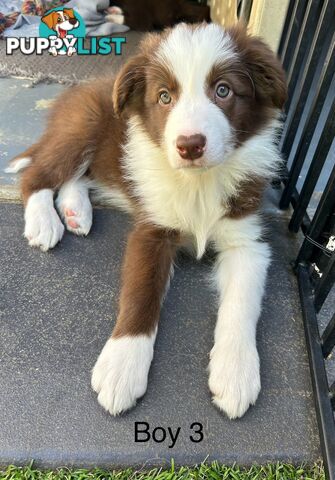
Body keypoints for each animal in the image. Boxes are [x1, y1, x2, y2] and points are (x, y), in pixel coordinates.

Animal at [6, 22, 288, 418]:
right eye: (165, 97)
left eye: (223, 90)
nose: (189, 145)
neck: (197, 183)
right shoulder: (152, 229)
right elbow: (140, 292)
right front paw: (122, 366)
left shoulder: (246, 239)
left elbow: (241, 303)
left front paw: (235, 372)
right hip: (81, 130)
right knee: (38, 176)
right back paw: (44, 222)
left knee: (79, 178)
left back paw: (76, 211)